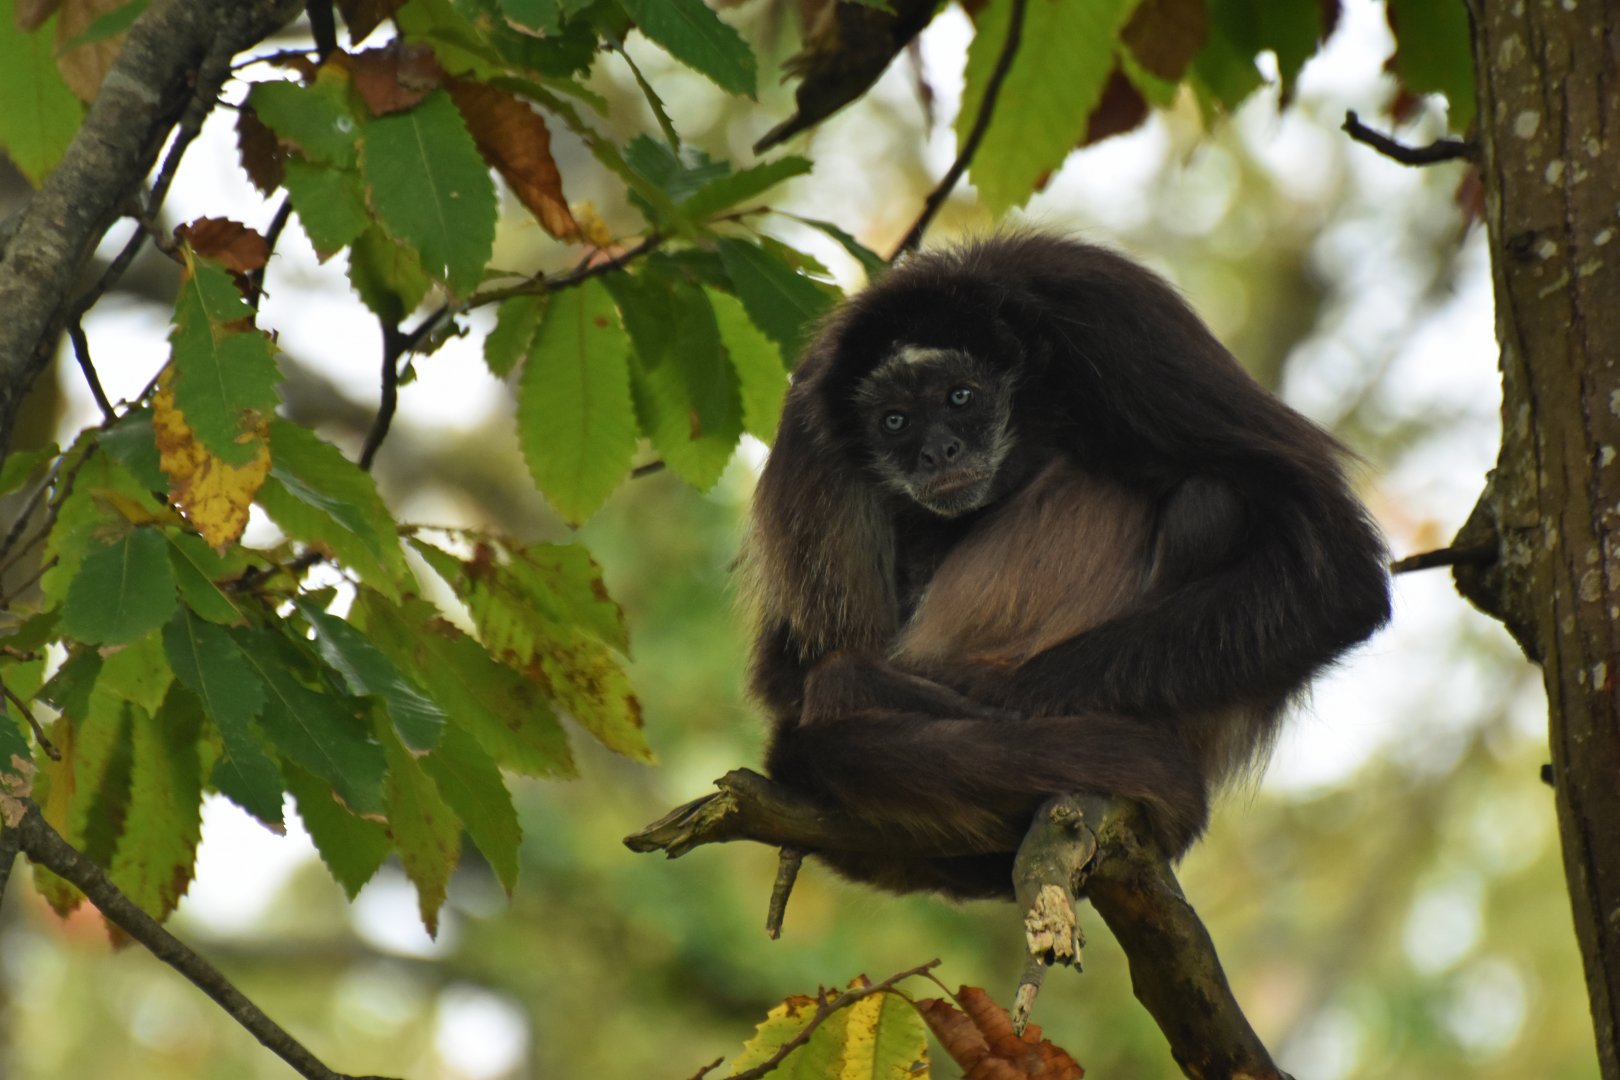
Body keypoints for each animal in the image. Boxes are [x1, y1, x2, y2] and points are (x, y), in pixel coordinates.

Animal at [741, 233, 1391, 899]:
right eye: (894, 421)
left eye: (960, 397)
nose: (937, 452)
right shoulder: (809, 418)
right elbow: (784, 678)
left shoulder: (1115, 312)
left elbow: (1341, 575)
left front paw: (980, 695)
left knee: (1211, 498)